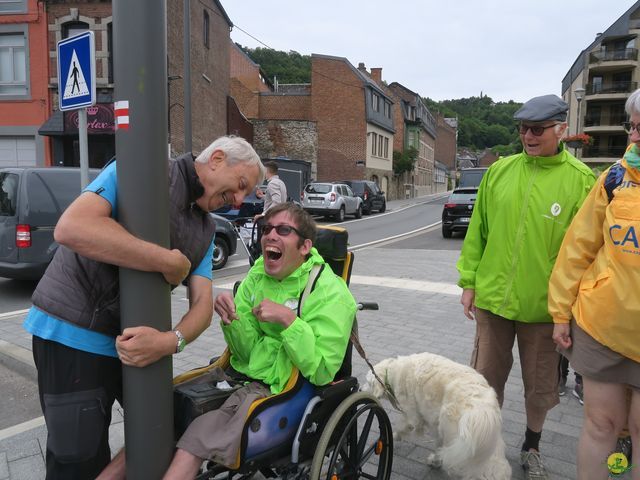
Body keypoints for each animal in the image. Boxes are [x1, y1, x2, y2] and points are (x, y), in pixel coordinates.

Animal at [364, 352, 510, 480]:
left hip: (452, 433)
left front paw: (393, 437)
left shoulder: (411, 415)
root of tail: (481, 406)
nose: (360, 389)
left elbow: (401, 426)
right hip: (483, 442)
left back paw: (436, 461)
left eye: (368, 382)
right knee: (496, 466)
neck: (392, 372)